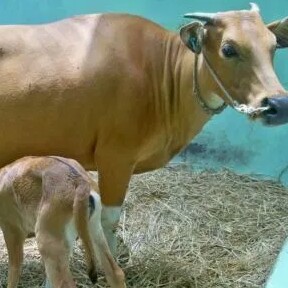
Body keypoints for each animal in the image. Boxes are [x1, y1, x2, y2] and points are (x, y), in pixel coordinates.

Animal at [0, 3, 286, 252]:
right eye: (228, 49)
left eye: (273, 46)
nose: (278, 104)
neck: (162, 73)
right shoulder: (115, 158)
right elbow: (109, 220)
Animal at [0, 158, 126, 288]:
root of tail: (80, 182)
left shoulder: (12, 229)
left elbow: (14, 268)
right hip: (94, 230)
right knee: (116, 273)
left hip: (49, 241)